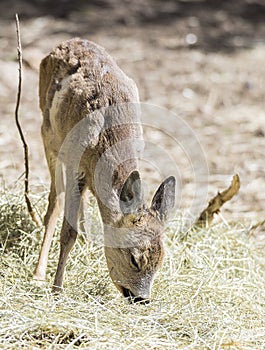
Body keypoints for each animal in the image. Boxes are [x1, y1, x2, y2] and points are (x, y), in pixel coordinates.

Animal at [34, 37, 175, 302]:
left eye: (161, 260)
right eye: (134, 258)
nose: (141, 298)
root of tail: (66, 42)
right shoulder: (74, 163)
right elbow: (67, 231)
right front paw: (57, 289)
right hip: (48, 133)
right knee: (55, 202)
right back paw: (38, 274)